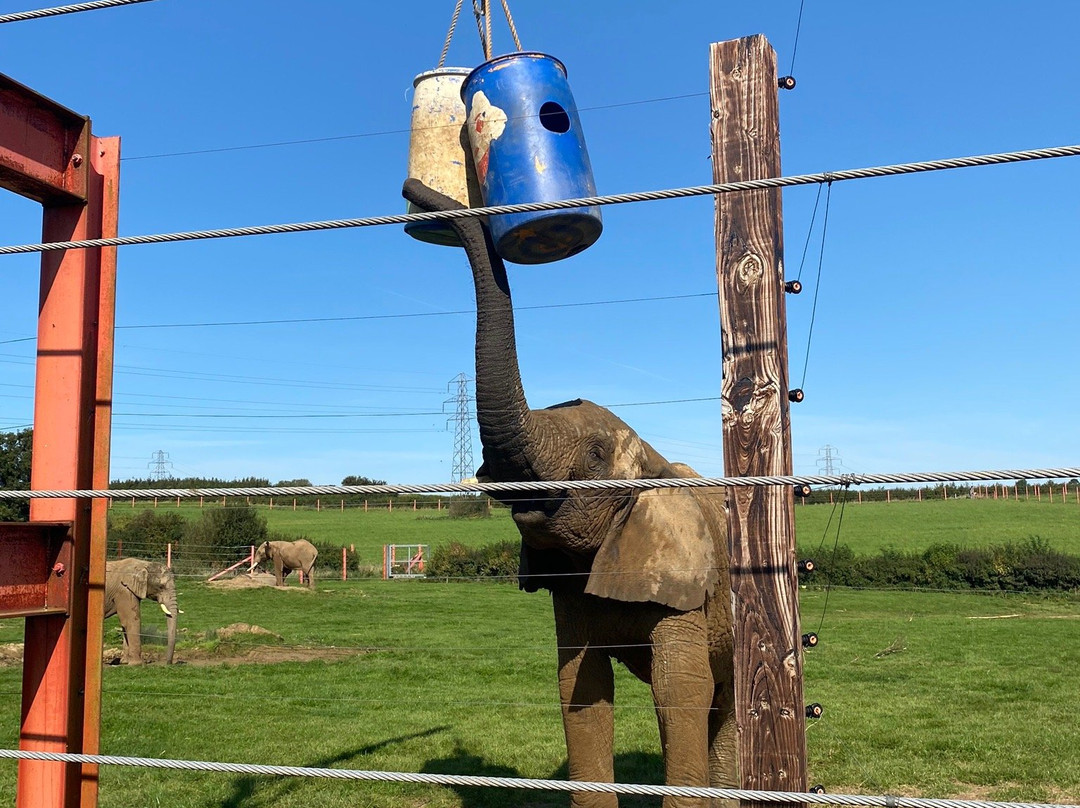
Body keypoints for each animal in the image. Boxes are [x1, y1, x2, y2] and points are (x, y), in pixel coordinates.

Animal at [401, 178, 738, 808]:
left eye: (597, 455)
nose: (413, 190)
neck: (653, 462)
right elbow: (580, 686)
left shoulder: (687, 584)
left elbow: (679, 689)